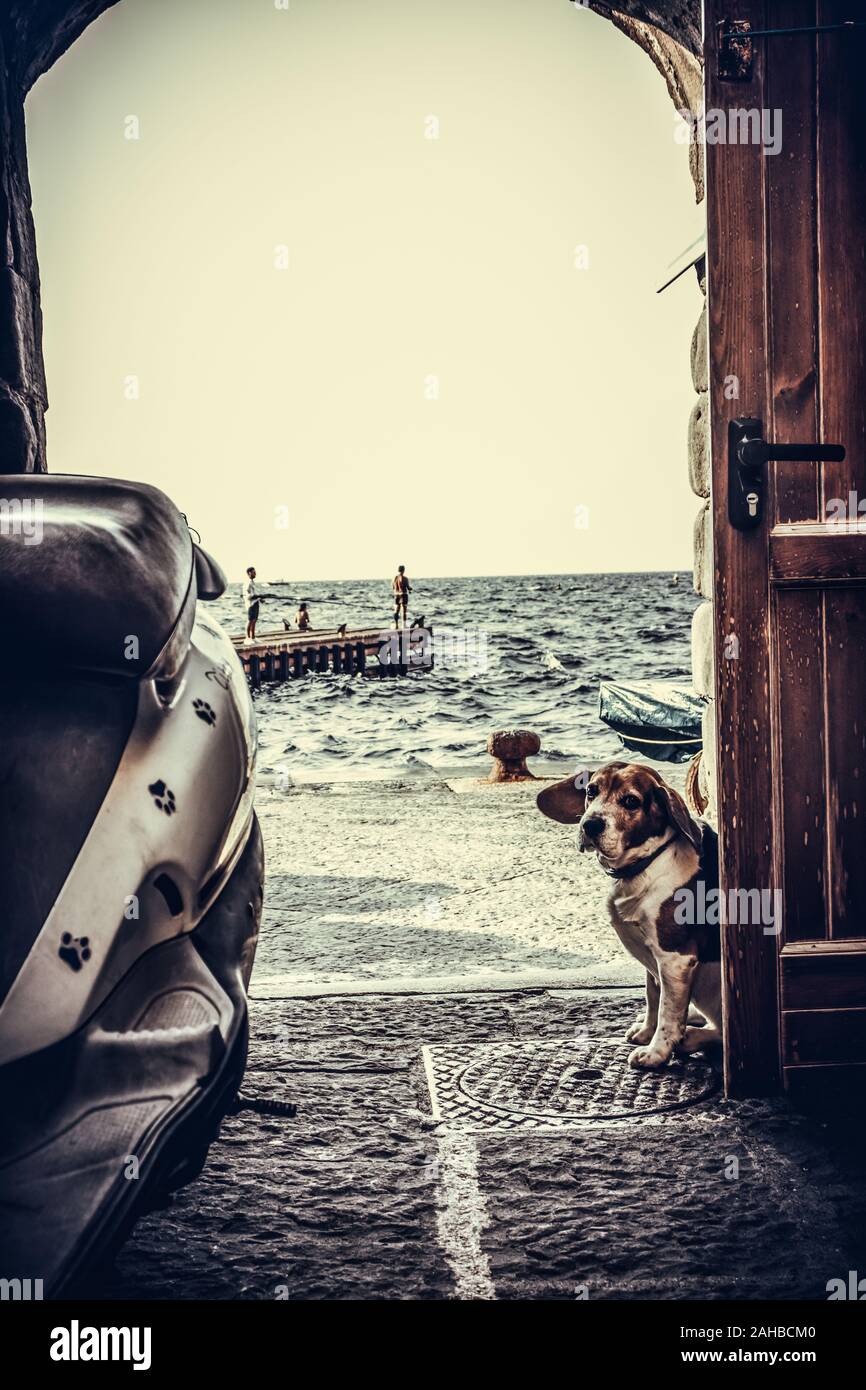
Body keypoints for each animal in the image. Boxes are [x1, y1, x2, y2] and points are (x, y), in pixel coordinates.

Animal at [539, 767, 722, 1067]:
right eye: (591, 790)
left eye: (630, 801)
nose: (591, 825)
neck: (647, 865)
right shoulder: (653, 960)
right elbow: (654, 998)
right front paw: (647, 1031)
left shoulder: (675, 959)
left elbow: (668, 1013)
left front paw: (657, 1051)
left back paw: (691, 1037)